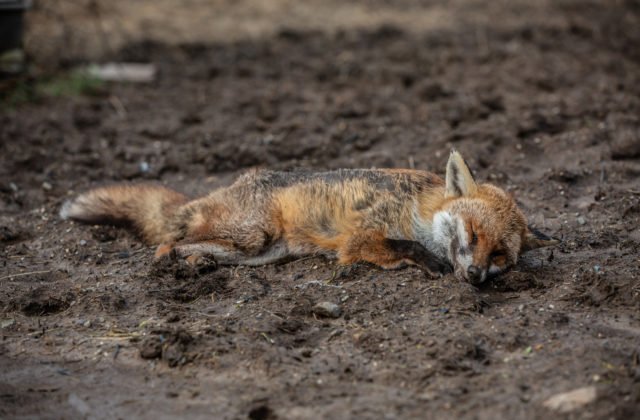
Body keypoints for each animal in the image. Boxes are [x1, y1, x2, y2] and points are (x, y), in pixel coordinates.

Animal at [61, 149, 560, 284]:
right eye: (472, 233)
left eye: (500, 255)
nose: (476, 276)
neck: (419, 210)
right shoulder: (362, 236)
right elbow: (402, 246)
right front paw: (431, 261)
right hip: (254, 236)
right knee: (166, 241)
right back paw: (169, 265)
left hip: (257, 252)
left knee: (188, 244)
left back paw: (195, 264)